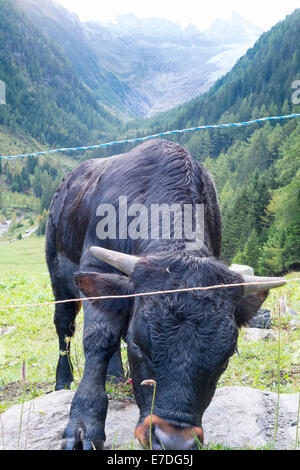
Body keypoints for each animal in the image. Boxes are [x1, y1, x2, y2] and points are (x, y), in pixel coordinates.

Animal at [45, 138, 284, 450]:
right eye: (138, 345)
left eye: (226, 357)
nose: (174, 441)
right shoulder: (94, 264)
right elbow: (99, 339)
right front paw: (84, 425)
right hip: (58, 273)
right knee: (64, 327)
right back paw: (63, 380)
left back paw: (116, 376)